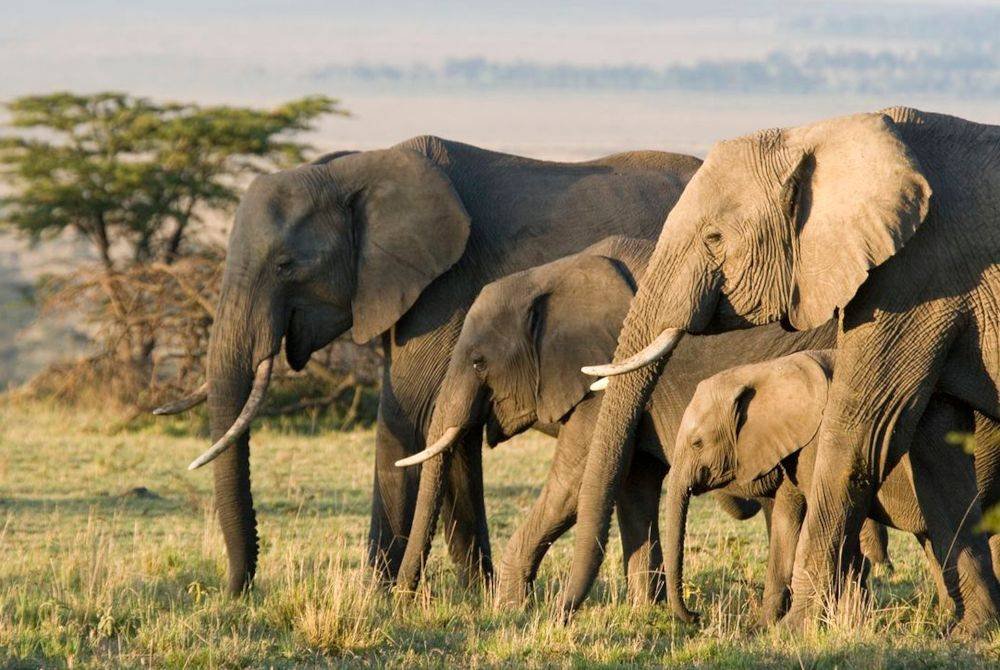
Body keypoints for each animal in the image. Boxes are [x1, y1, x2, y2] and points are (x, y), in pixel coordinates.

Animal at [156, 135, 704, 592]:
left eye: (286, 265)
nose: (236, 591)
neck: (354, 171)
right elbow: (450, 435)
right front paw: (473, 595)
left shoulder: (444, 289)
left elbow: (410, 418)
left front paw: (376, 598)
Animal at [392, 238, 892, 604]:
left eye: (479, 363)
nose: (402, 598)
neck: (554, 273)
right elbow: (634, 486)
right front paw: (645, 611)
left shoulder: (604, 381)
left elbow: (574, 485)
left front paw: (510, 609)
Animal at [664, 352, 1000, 636]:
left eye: (697, 443)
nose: (696, 616)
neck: (766, 370)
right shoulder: (793, 446)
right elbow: (787, 523)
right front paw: (762, 628)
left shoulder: (818, 441)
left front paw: (845, 624)